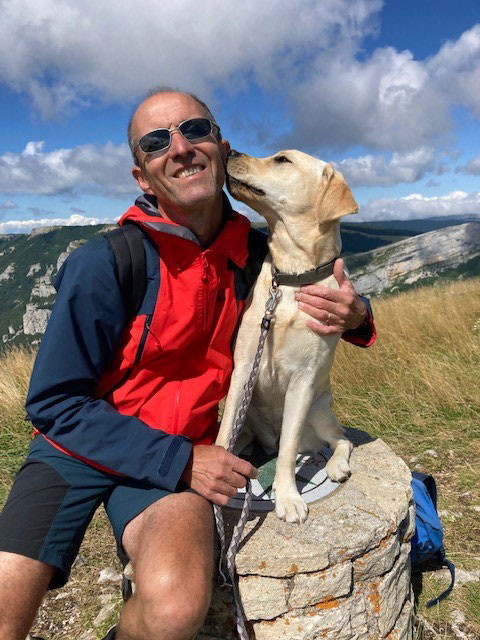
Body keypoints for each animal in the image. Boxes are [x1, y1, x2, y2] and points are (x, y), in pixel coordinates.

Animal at [216, 150, 358, 524]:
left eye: (282, 159)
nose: (230, 150)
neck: (292, 276)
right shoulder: (243, 369)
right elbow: (223, 435)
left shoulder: (303, 381)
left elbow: (288, 449)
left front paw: (288, 497)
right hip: (251, 419)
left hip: (319, 409)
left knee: (340, 440)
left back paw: (335, 466)